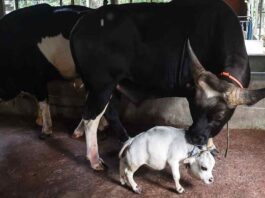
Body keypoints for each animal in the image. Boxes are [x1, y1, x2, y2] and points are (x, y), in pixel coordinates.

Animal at [69, 0, 264, 170]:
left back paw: (122, 138)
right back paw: (95, 159)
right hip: (102, 85)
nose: (193, 137)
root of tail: (83, 21)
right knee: (90, 117)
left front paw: (211, 145)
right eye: (195, 108)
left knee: (108, 112)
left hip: (108, 85)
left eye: (220, 114)